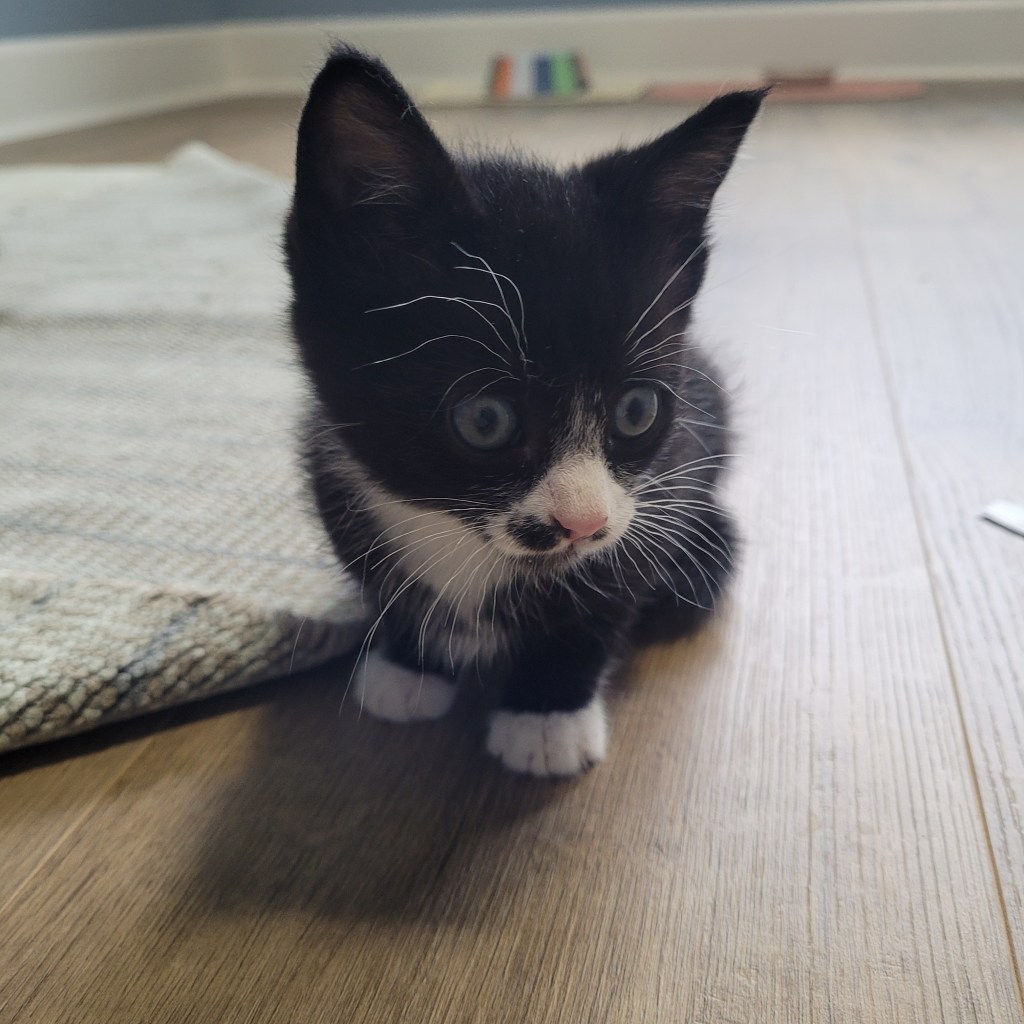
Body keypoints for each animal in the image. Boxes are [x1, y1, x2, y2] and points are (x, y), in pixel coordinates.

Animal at [284, 46, 764, 776]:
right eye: (485, 420)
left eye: (636, 410)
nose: (583, 523)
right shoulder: (335, 469)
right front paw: (408, 664)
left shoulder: (665, 480)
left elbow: (610, 589)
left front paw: (548, 714)